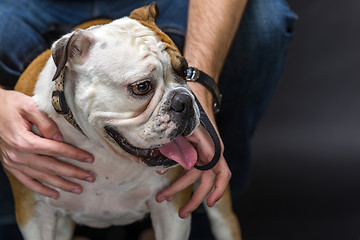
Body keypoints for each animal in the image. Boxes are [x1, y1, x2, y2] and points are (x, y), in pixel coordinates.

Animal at [4, 2, 239, 240]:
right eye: (142, 87)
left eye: (184, 72)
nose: (185, 100)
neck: (101, 149)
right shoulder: (34, 211)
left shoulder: (172, 209)